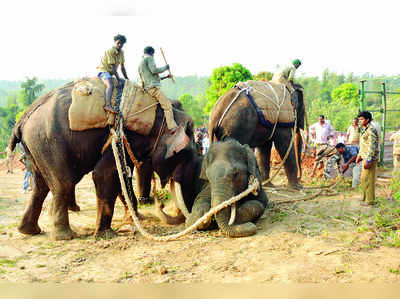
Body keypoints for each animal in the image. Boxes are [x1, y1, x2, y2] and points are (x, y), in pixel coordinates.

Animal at [9, 81, 202, 240]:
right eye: (185, 155)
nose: (160, 204)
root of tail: (22, 119)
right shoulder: (125, 135)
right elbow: (106, 174)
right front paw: (107, 234)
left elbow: (122, 175)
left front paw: (135, 218)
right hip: (48, 141)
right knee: (64, 183)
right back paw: (64, 236)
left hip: (36, 146)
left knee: (41, 185)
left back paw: (29, 231)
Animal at [109, 128, 260, 241]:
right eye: (208, 177)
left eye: (236, 174)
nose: (251, 226)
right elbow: (200, 200)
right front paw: (204, 219)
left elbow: (258, 203)